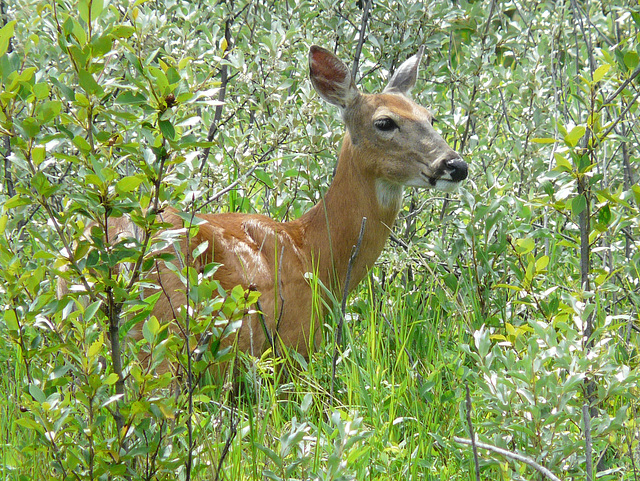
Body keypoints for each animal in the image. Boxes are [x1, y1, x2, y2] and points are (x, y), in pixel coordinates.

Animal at [77, 45, 468, 374]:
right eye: (384, 122)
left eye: (431, 117)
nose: (456, 165)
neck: (314, 252)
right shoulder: (291, 348)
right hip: (162, 336)